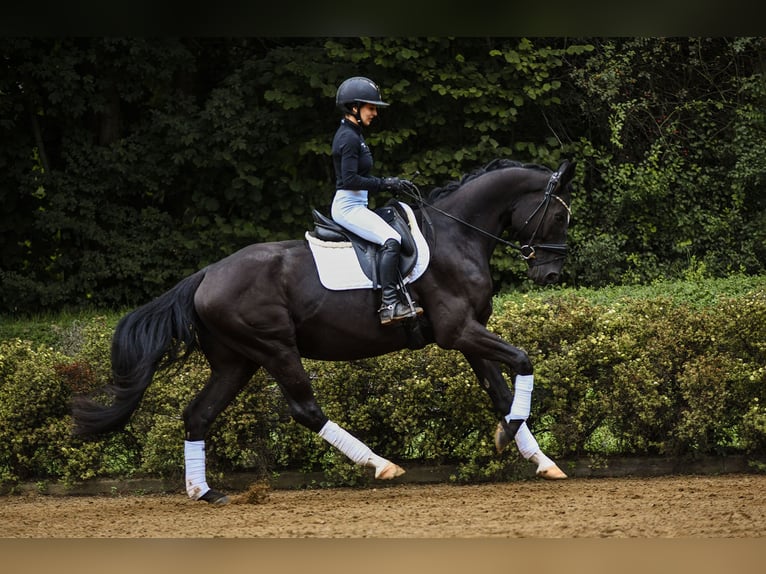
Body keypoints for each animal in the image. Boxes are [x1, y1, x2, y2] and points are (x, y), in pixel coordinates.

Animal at [72, 158, 576, 504]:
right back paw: (380, 464)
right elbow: (523, 360)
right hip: (275, 348)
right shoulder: (458, 331)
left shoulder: (470, 332)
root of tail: (206, 275)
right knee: (304, 409)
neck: (457, 236)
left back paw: (206, 492)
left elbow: (500, 391)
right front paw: (511, 439)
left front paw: (537, 457)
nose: (550, 274)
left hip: (237, 361)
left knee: (198, 414)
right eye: (558, 216)